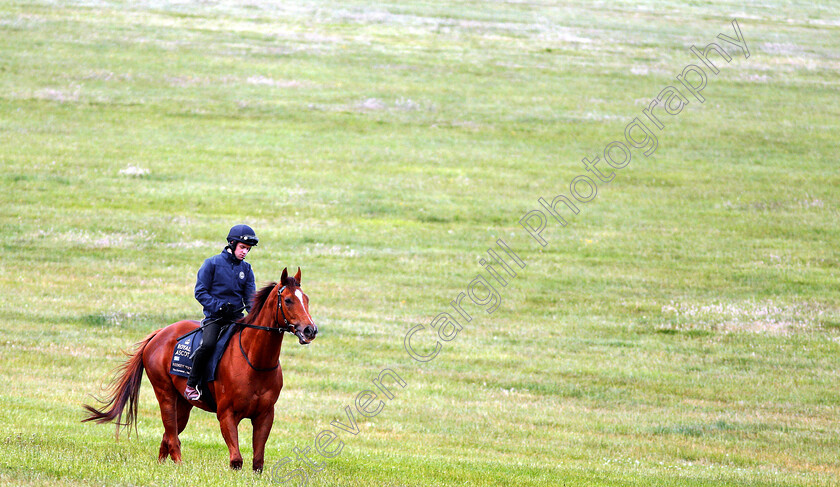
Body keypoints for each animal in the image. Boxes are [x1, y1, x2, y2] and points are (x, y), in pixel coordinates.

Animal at [80, 266, 316, 472]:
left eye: (306, 299)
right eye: (288, 300)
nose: (310, 330)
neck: (255, 361)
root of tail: (159, 334)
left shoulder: (265, 415)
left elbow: (257, 462)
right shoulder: (227, 415)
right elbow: (236, 460)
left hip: (183, 404)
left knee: (167, 437)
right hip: (165, 395)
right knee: (172, 438)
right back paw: (179, 466)